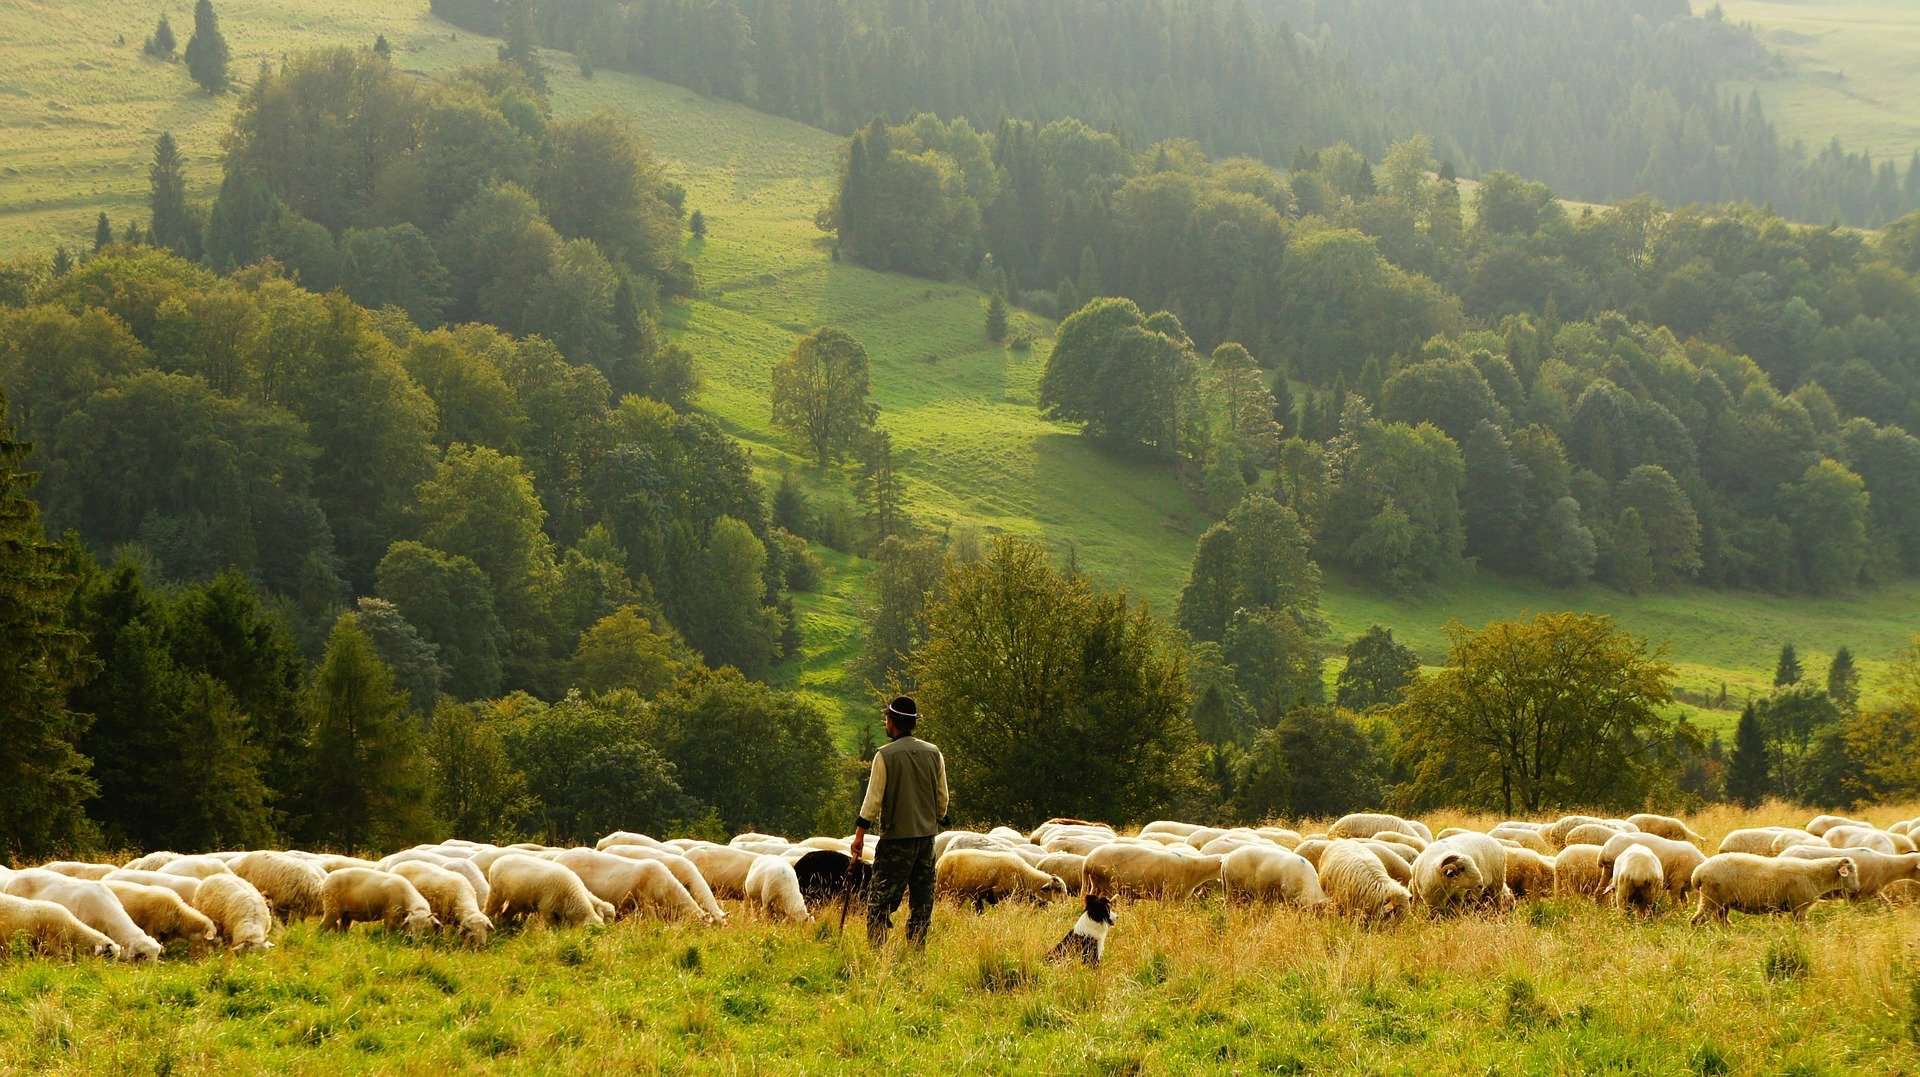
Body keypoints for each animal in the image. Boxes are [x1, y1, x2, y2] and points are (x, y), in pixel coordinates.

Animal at [936, 848, 1075, 906]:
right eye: (1058, 889)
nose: (1066, 904)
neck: (1026, 877)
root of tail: (940, 861)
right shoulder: (999, 894)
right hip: (942, 890)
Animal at [1697, 852, 1858, 921]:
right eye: (1850, 871)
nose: (1857, 889)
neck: (1815, 876)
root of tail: (1698, 873)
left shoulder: (1778, 908)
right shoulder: (1799, 907)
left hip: (1722, 903)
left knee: (1722, 921)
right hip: (1711, 898)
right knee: (1697, 920)